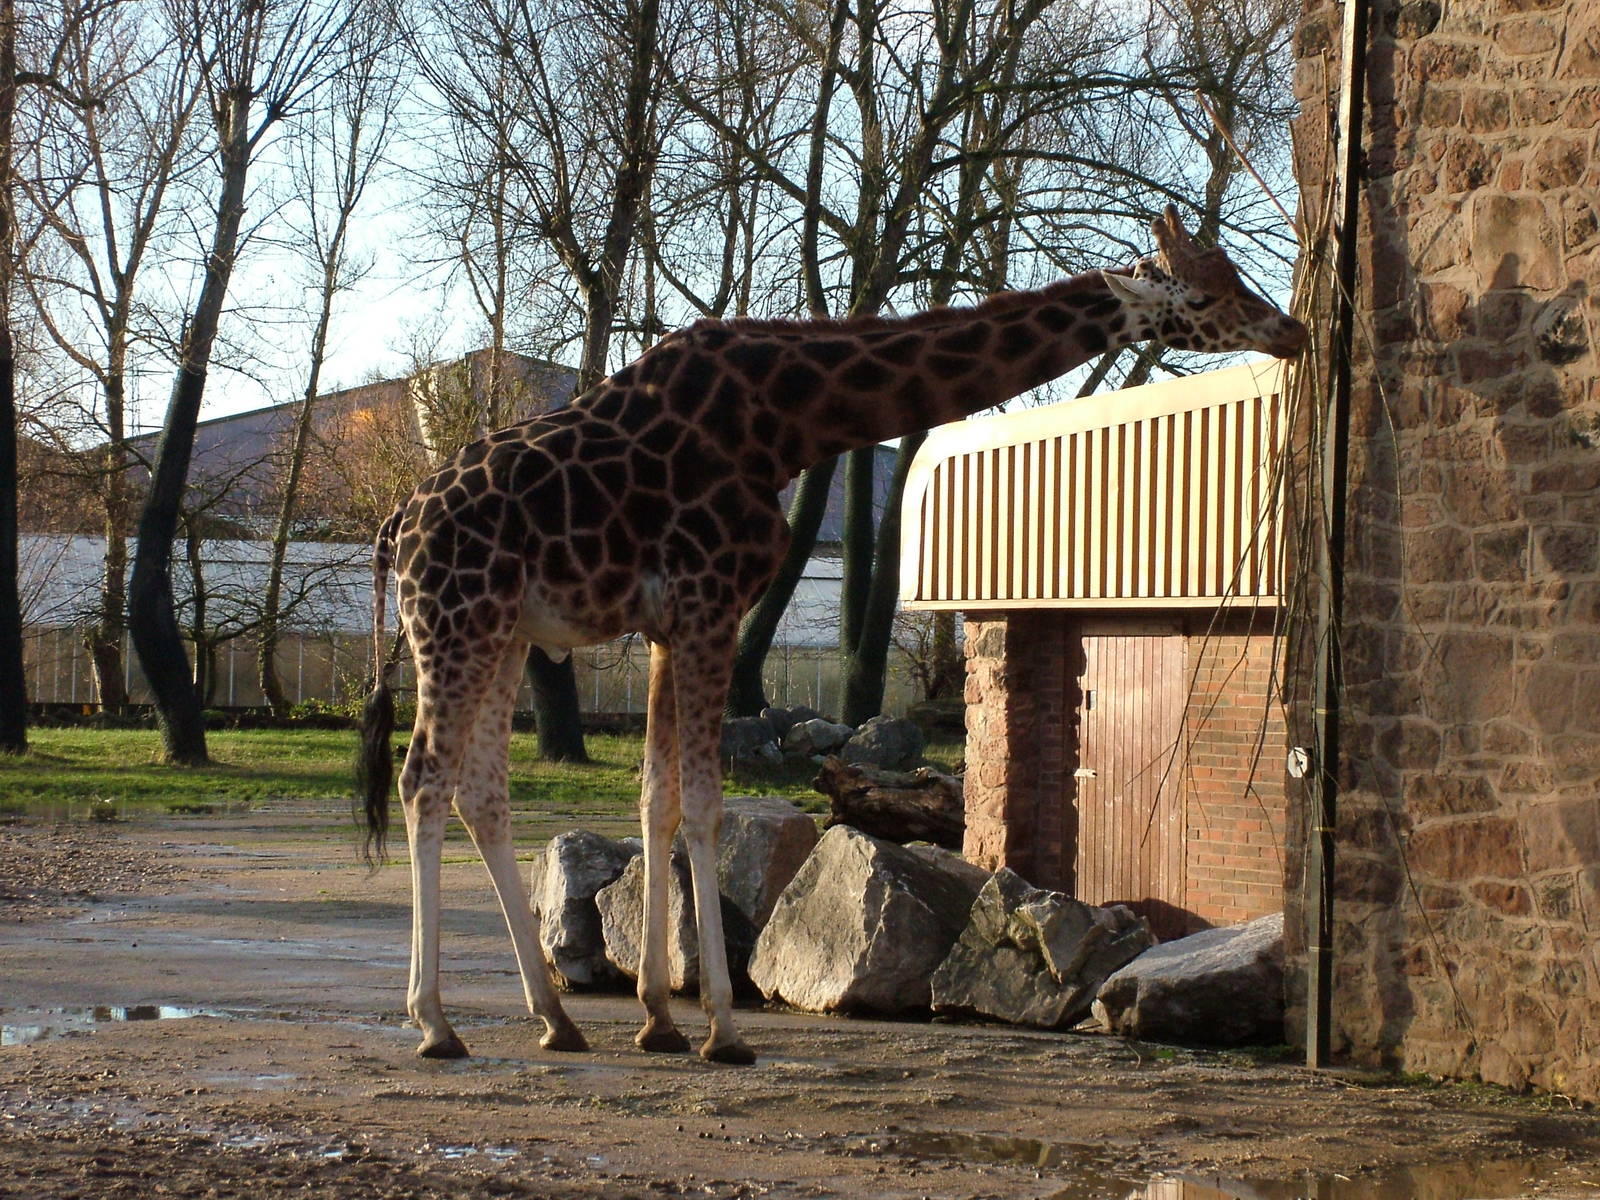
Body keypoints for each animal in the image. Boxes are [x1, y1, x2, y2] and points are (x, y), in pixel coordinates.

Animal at [355, 205, 1307, 1065]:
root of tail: (398, 524)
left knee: (480, 792)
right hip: (457, 621)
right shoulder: (709, 601)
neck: (791, 419)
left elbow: (658, 799)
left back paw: (552, 1018)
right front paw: (724, 1030)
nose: (1291, 329)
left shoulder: (668, 623)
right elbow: (703, 803)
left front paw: (660, 1017)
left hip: (504, 633)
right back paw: (435, 1024)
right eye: (1208, 291)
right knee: (421, 779)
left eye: (1233, 273)